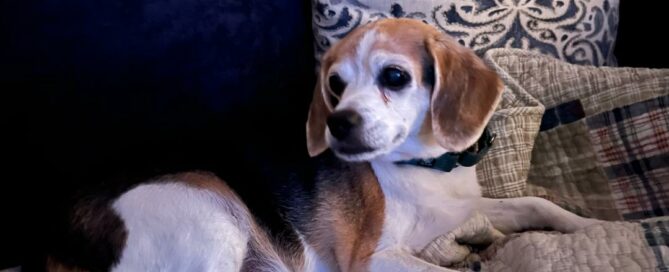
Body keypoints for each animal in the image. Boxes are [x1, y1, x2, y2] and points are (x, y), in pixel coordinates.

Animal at [48, 18, 600, 270]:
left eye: (394, 76)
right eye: (335, 83)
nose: (338, 123)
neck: (422, 168)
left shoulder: (465, 211)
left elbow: (532, 203)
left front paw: (589, 225)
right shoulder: (374, 258)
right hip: (208, 203)